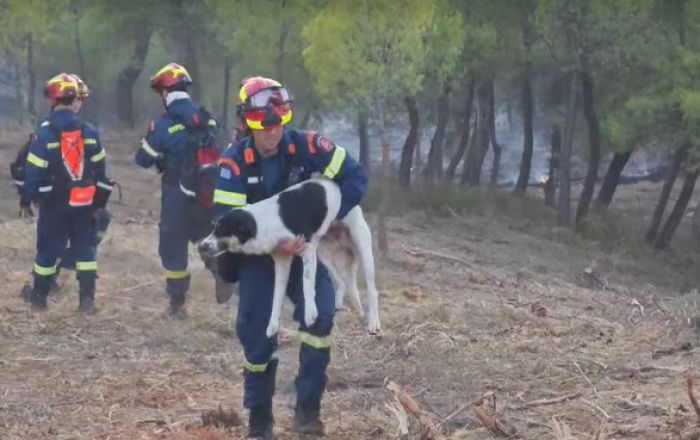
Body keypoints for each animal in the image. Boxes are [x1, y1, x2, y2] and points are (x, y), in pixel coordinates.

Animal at [197, 177, 382, 336]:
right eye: (214, 228)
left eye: (221, 230)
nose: (201, 246)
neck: (263, 222)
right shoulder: (282, 261)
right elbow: (276, 298)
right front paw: (272, 325)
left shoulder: (306, 249)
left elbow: (307, 284)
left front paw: (310, 313)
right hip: (322, 252)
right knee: (343, 282)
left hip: (363, 248)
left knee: (372, 291)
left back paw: (373, 323)